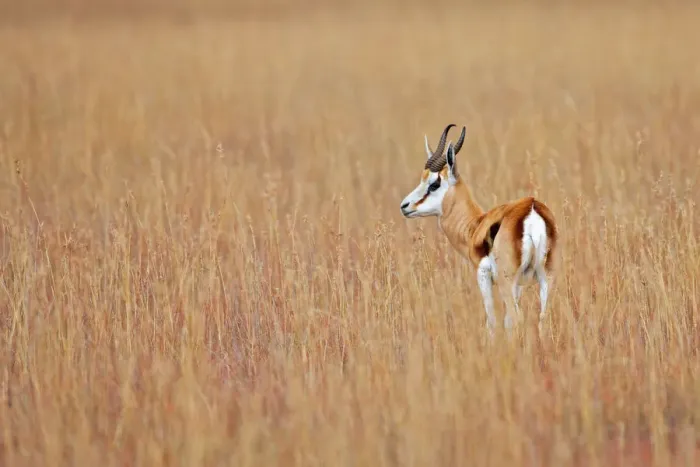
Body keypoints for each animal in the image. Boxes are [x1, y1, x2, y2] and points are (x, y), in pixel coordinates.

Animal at [399, 124, 558, 338]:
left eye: (434, 183)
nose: (405, 206)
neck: (475, 226)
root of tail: (531, 209)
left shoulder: (484, 276)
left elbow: (493, 321)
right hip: (545, 277)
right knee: (543, 318)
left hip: (508, 280)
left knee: (515, 317)